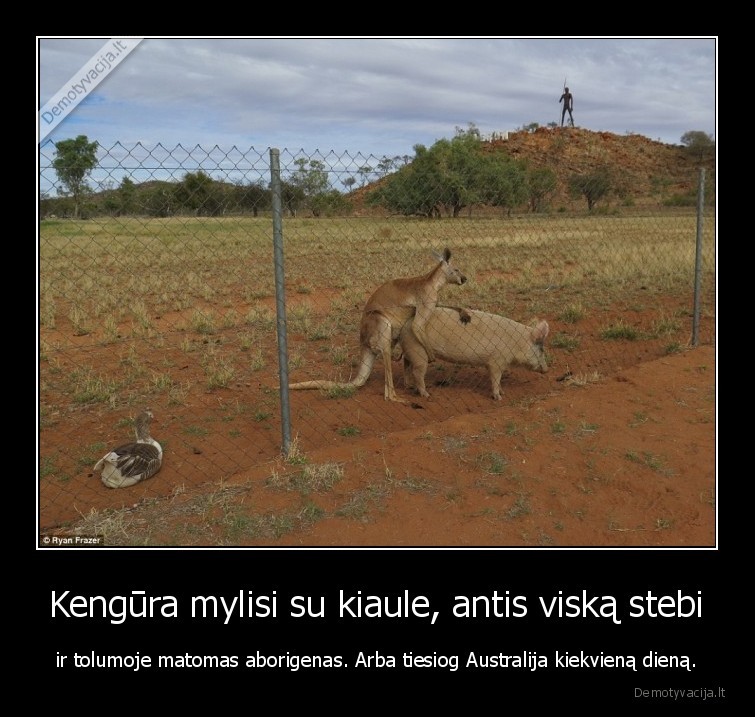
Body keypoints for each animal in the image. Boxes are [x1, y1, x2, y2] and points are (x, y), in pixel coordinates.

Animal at [402, 306, 548, 400]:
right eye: (541, 349)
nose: (547, 370)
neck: (517, 343)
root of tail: (406, 325)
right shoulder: (496, 361)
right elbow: (496, 378)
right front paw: (499, 397)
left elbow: (498, 379)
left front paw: (503, 393)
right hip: (418, 352)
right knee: (417, 372)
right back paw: (426, 395)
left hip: (411, 351)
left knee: (407, 366)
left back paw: (409, 386)